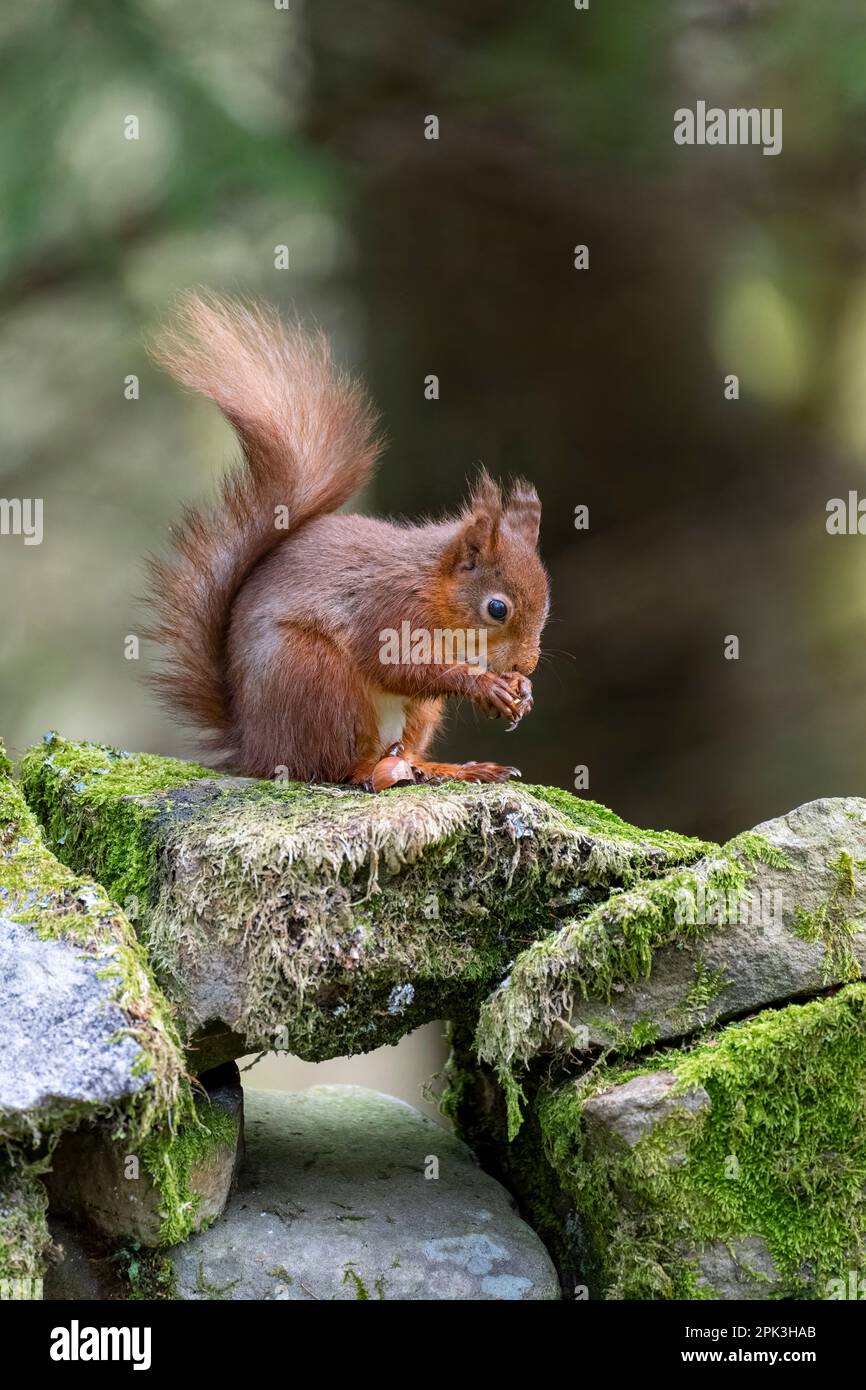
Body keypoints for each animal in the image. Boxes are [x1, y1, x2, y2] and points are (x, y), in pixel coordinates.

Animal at [146, 292, 549, 790]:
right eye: (497, 609)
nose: (526, 666)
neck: (433, 588)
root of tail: (252, 746)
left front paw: (522, 691)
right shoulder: (389, 610)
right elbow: (396, 666)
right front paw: (483, 684)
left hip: (413, 715)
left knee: (403, 748)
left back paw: (444, 767)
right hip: (313, 676)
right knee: (326, 765)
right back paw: (369, 771)